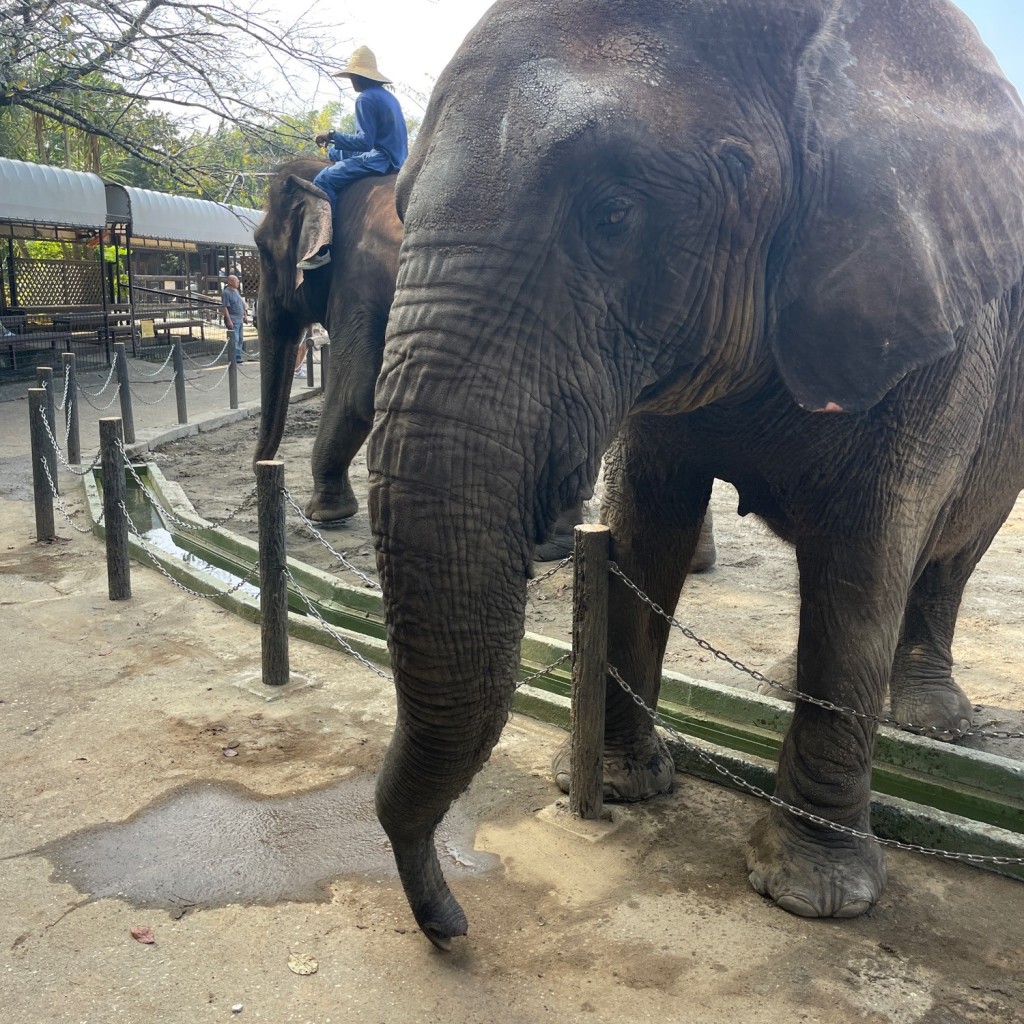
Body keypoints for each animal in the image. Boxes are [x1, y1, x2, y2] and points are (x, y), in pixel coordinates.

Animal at [364, 0, 1024, 946]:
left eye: (613, 215)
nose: (451, 920)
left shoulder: (933, 321)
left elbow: (866, 560)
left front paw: (811, 897)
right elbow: (645, 532)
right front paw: (618, 787)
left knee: (949, 555)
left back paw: (931, 720)